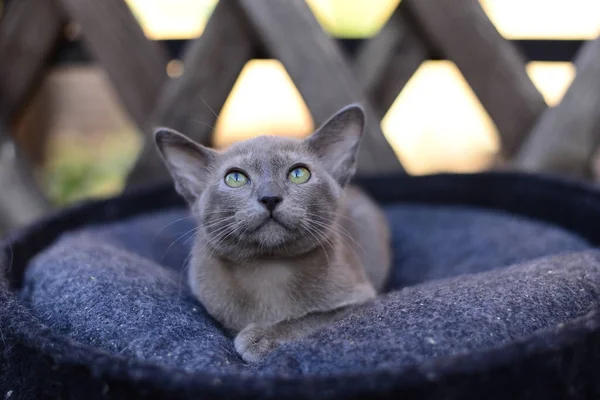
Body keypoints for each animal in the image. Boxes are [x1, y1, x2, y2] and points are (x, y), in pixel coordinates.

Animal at [152, 103, 392, 362]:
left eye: (299, 174)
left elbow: (312, 318)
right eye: (235, 178)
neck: (269, 269)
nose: (269, 197)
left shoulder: (360, 298)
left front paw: (259, 337)